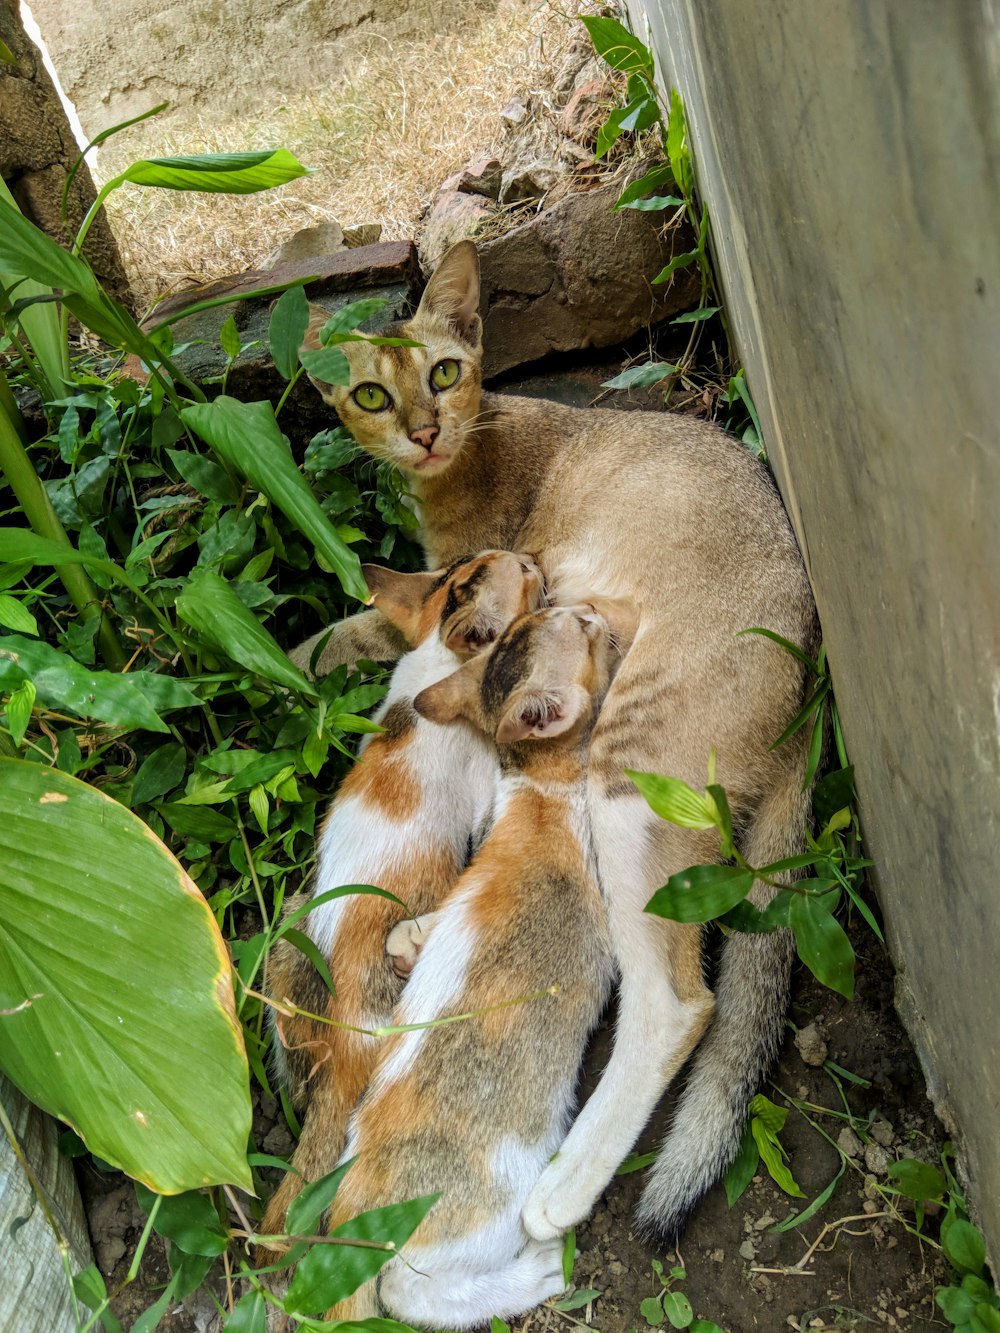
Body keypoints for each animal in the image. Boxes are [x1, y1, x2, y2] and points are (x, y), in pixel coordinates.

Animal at [258, 543, 541, 1247]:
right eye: (523, 578)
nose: (528, 555)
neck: (438, 654)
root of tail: (342, 1041)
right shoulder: (486, 785)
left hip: (286, 947)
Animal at [292, 242, 821, 1247]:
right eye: (373, 395)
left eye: (443, 373)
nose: (424, 431)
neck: (474, 445)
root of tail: (811, 689)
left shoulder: (477, 581)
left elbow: (368, 624)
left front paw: (285, 658)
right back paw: (418, 934)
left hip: (632, 771)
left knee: (675, 1000)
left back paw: (561, 1190)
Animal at [321, 607, 637, 1333]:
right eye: (581, 629)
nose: (593, 611)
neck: (537, 784)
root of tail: (354, 1215)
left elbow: (427, 927)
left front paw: (410, 942)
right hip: (480, 1216)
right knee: (412, 1294)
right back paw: (539, 1270)